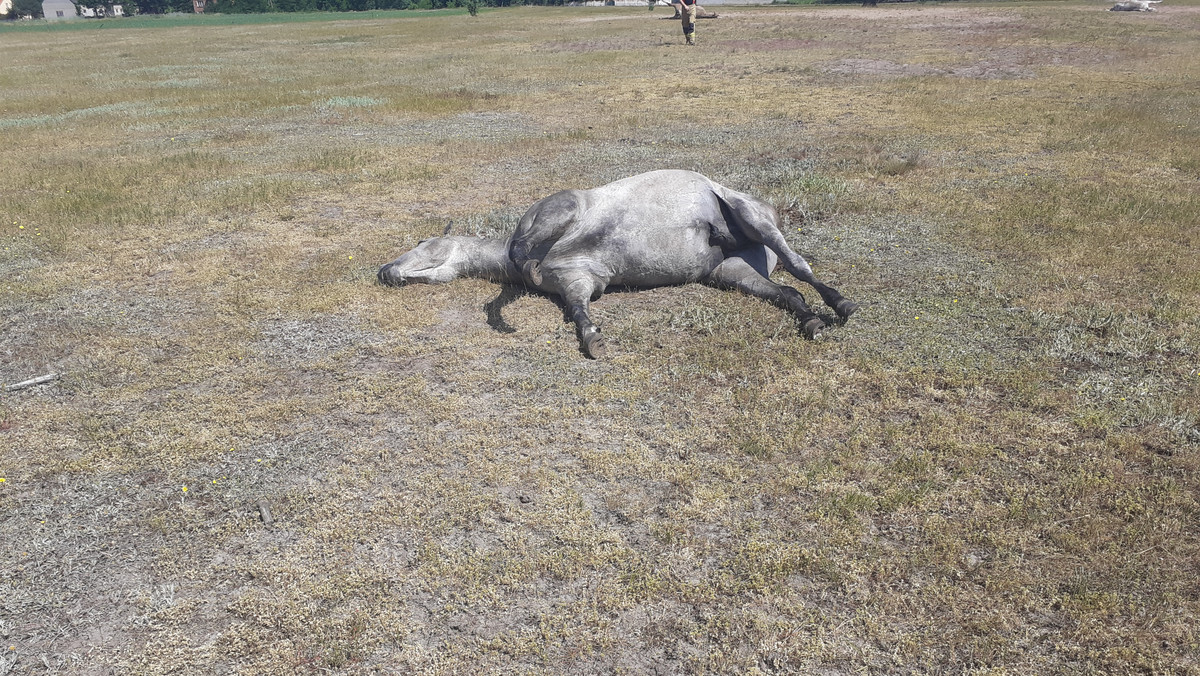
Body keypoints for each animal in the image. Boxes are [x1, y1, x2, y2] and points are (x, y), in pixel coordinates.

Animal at [379, 169, 859, 360]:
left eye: (424, 242)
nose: (385, 272)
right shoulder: (577, 283)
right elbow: (579, 314)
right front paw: (593, 339)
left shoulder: (559, 209)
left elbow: (520, 246)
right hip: (734, 272)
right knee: (787, 290)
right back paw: (811, 322)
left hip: (753, 219)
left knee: (800, 268)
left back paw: (841, 304)